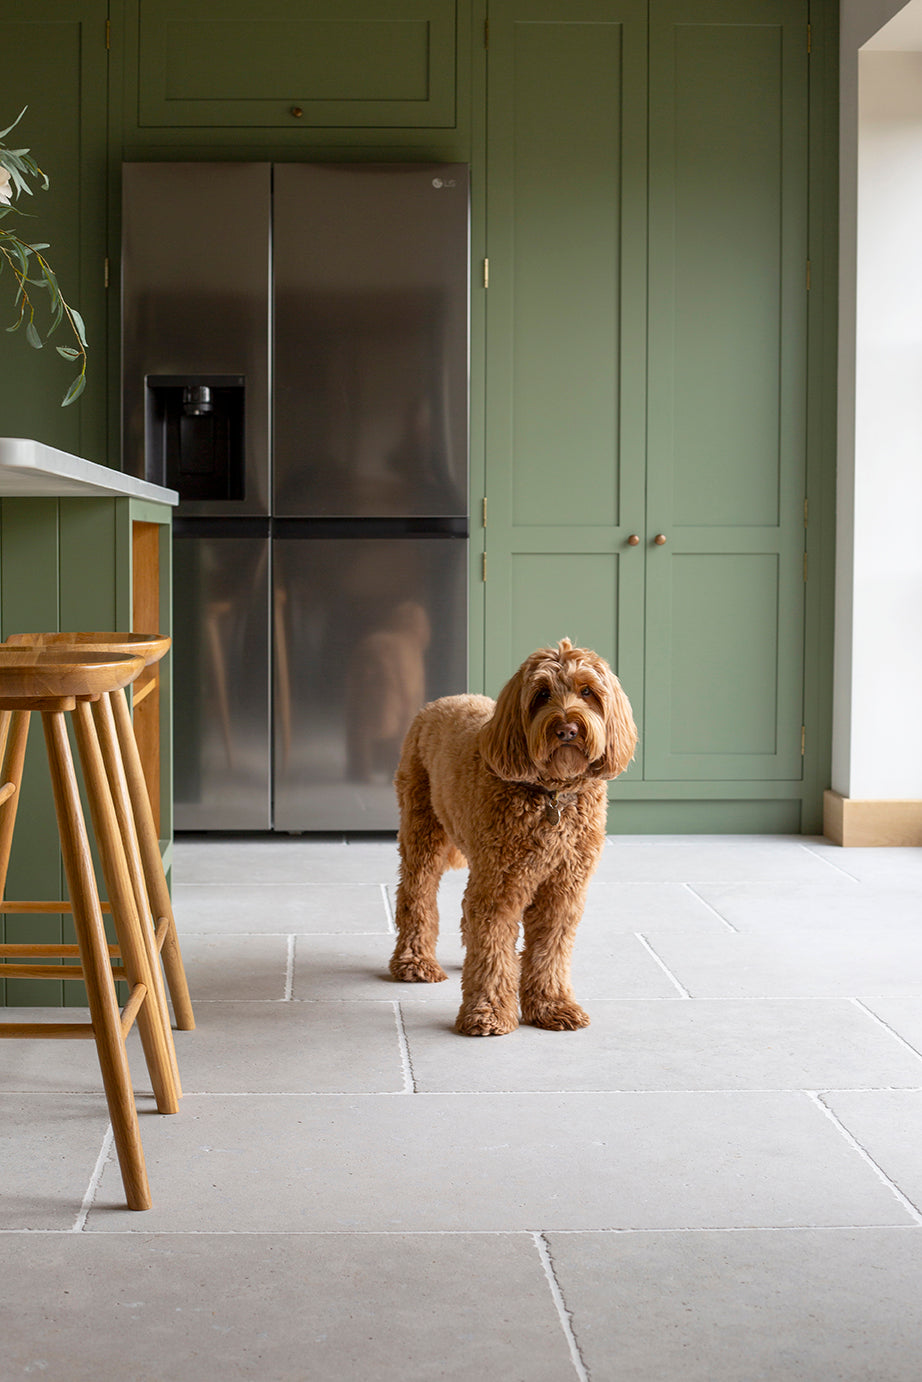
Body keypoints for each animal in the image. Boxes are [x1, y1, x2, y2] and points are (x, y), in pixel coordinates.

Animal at [387, 641, 635, 1033]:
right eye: (542, 694)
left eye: (587, 692)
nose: (567, 729)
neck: (551, 795)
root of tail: (440, 701)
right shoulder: (500, 887)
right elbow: (492, 949)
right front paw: (487, 1012)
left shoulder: (562, 888)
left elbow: (549, 951)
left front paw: (552, 1006)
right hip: (422, 828)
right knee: (416, 894)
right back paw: (414, 963)